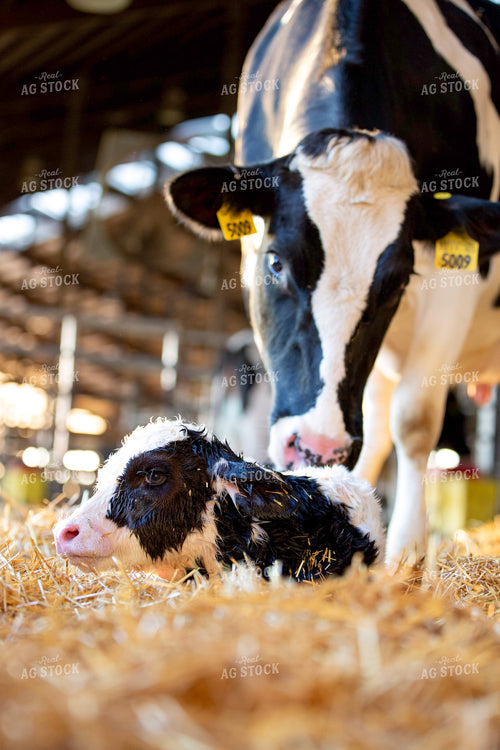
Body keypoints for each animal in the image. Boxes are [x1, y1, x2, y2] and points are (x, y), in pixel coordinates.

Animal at [165, 0, 500, 567]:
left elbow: (414, 420)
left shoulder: (456, 283)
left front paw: (406, 561)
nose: (318, 448)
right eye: (276, 263)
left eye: (397, 282)